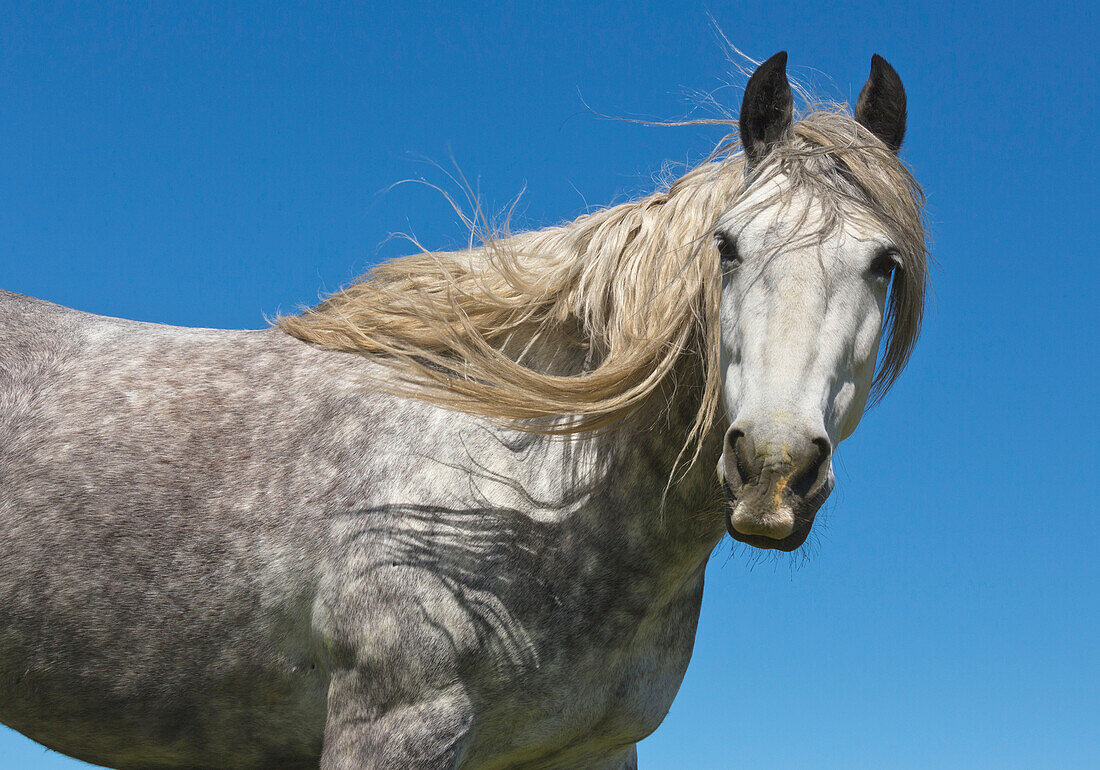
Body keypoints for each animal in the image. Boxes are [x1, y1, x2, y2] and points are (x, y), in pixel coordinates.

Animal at [0, 51, 928, 765]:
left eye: (884, 263)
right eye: (726, 247)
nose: (773, 469)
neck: (523, 478)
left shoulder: (589, 750)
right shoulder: (398, 724)